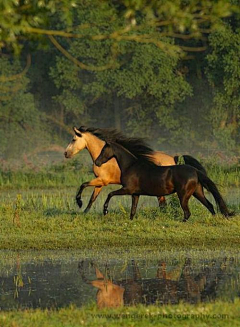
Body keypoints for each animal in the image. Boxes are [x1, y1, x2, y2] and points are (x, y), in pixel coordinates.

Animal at [64, 125, 206, 213]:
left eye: (73, 139)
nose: (66, 153)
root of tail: (174, 158)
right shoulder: (100, 182)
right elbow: (92, 198)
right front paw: (85, 211)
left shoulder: (102, 180)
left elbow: (83, 185)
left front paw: (79, 203)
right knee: (163, 204)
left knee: (165, 203)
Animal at [95, 142, 232, 222]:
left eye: (103, 150)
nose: (97, 162)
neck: (131, 166)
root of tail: (195, 171)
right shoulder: (135, 194)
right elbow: (133, 210)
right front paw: (130, 221)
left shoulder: (127, 189)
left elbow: (110, 194)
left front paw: (105, 211)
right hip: (197, 192)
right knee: (210, 205)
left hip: (184, 196)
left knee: (187, 213)